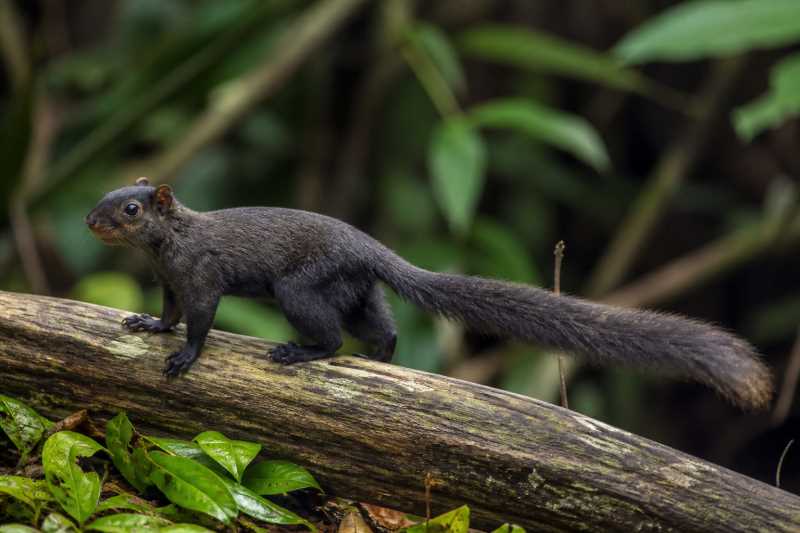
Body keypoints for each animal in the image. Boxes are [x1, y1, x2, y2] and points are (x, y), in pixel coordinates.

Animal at [85, 177, 772, 410]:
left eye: (130, 208)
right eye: (105, 195)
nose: (91, 221)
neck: (166, 251)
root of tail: (372, 250)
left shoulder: (200, 276)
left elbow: (201, 320)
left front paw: (183, 359)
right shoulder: (169, 281)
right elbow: (170, 313)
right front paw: (146, 327)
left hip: (298, 287)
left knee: (332, 338)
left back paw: (297, 353)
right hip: (356, 290)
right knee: (383, 330)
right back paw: (382, 364)